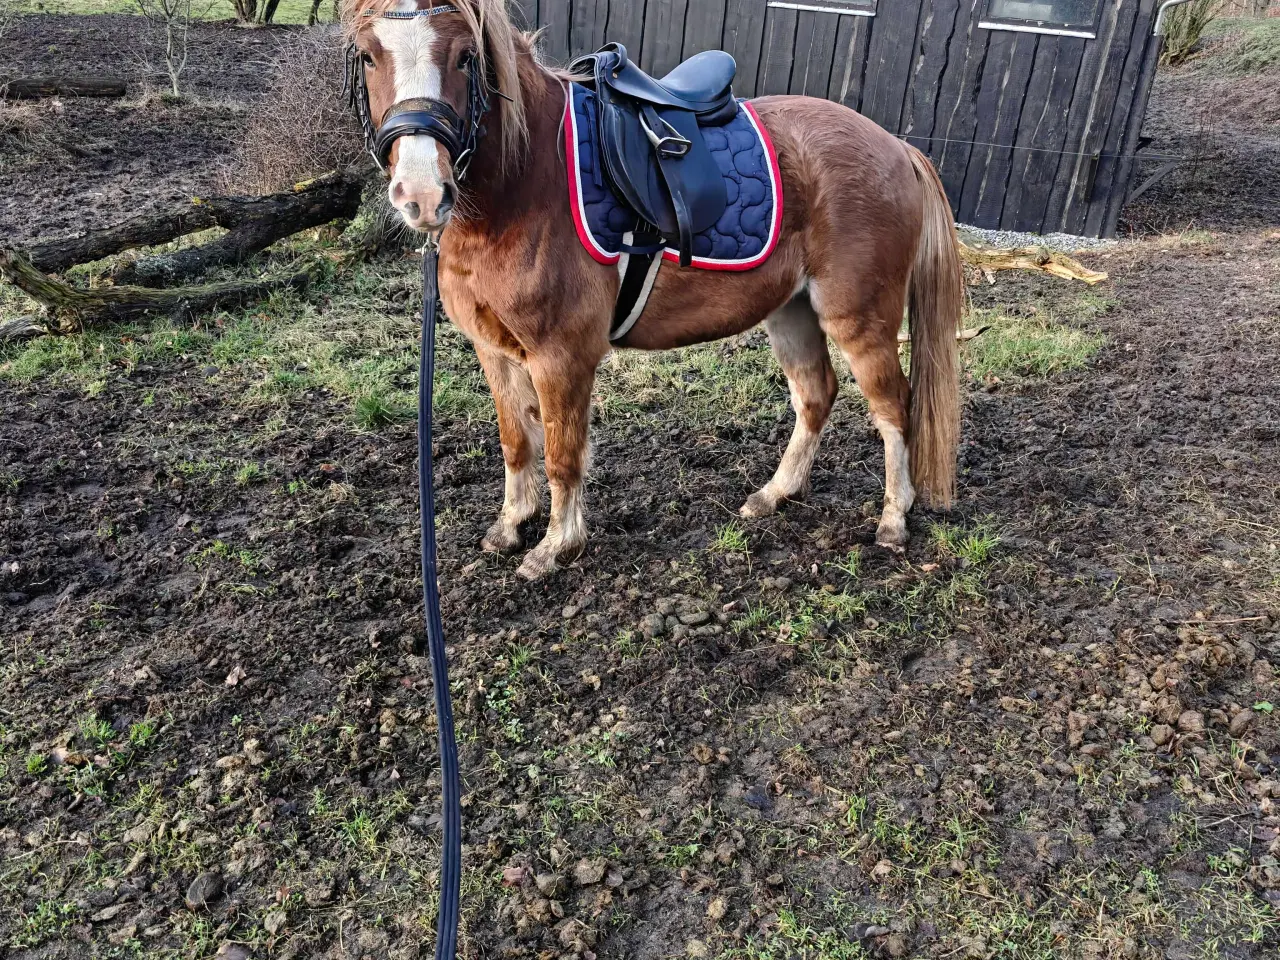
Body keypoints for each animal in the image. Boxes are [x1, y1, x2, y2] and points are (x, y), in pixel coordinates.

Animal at [345, 0, 964, 581]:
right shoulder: (494, 351)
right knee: (816, 394)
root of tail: (896, 147)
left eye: (465, 56)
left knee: (894, 407)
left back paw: (893, 519)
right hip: (791, 311)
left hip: (858, 319)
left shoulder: (560, 357)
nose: (422, 195)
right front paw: (511, 525)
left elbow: (563, 455)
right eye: (369, 55)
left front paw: (555, 547)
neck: (526, 182)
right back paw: (774, 494)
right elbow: (516, 441)